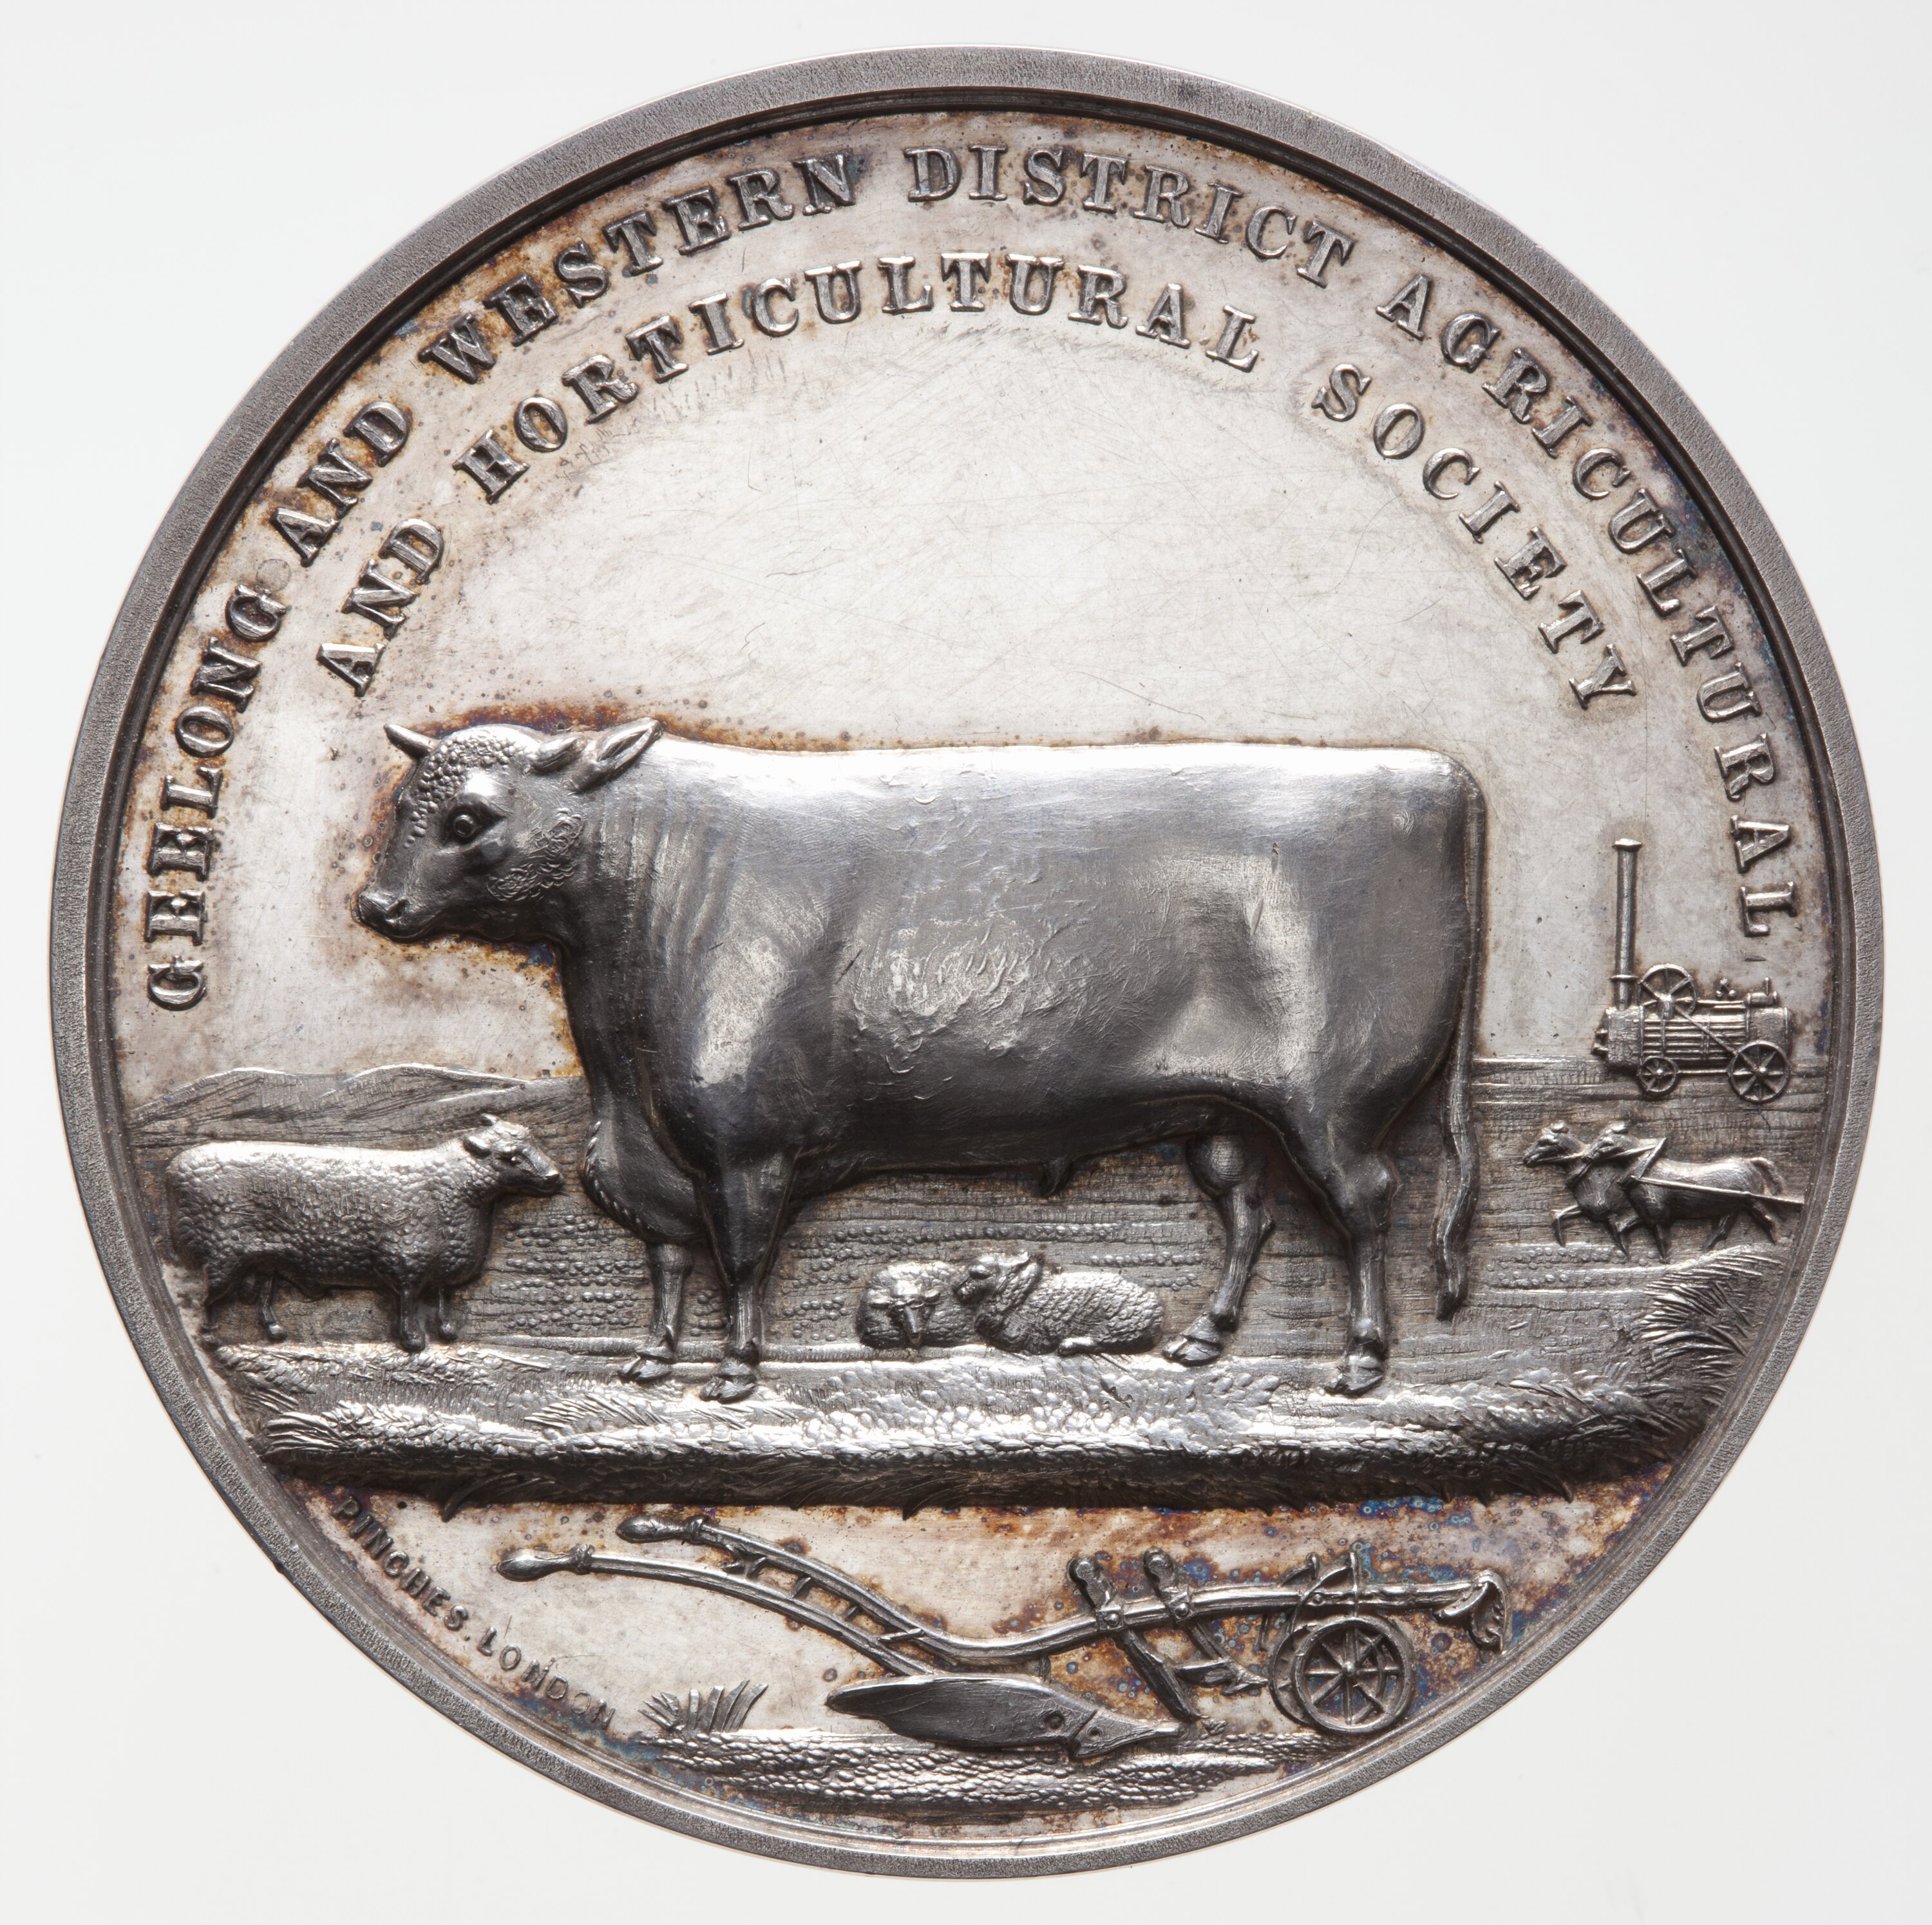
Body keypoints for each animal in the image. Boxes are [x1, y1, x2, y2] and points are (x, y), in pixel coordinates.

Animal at [164, 1116, 562, 1350]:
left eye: (533, 1141)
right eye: (510, 1157)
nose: (555, 1177)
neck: (452, 1188)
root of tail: (174, 1168)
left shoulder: (445, 1259)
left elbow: (443, 1298)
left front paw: (448, 1332)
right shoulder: (406, 1259)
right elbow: (409, 1303)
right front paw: (413, 1341)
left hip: (265, 1259)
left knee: (263, 1296)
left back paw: (274, 1331)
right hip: (224, 1254)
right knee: (208, 1299)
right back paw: (212, 1338)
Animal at [358, 718, 1486, 1401]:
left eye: (470, 819)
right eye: (401, 808)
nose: (375, 905)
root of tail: (1440, 776)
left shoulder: (742, 1148)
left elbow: (740, 1258)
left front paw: (735, 1373)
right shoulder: (647, 1154)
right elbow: (669, 1257)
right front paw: (650, 1360)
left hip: (1332, 1106)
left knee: (1366, 1210)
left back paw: (1361, 1361)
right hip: (1222, 1115)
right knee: (1251, 1213)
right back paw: (1203, 1340)